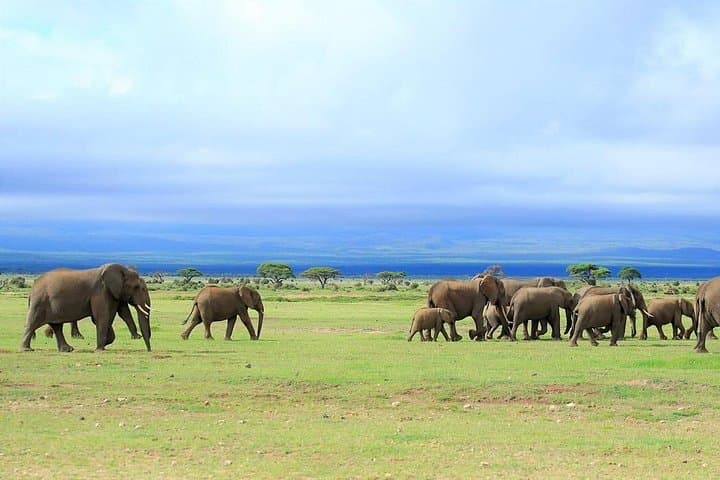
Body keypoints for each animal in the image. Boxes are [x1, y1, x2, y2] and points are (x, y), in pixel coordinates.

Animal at [20, 264, 152, 352]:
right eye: (137, 287)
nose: (149, 350)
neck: (123, 269)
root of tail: (32, 288)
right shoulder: (100, 291)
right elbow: (102, 316)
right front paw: (100, 349)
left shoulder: (115, 292)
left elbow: (122, 312)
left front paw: (106, 343)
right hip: (40, 302)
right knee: (33, 323)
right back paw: (26, 349)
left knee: (57, 326)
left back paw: (67, 349)